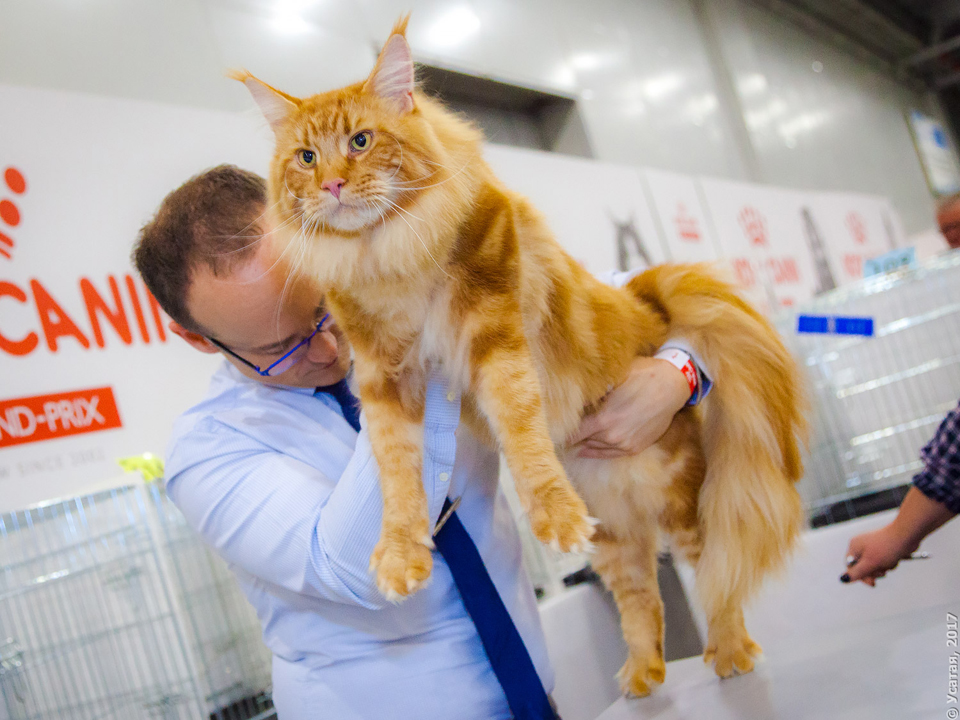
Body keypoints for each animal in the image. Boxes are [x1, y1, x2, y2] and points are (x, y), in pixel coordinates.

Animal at [234, 16, 807, 695]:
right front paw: (401, 556)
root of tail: (644, 303)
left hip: (681, 497)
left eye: (361, 140)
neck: (382, 255)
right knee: (643, 595)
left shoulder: (492, 329)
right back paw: (642, 673)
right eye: (305, 157)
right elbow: (396, 475)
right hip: (614, 533)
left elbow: (522, 428)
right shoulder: (382, 376)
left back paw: (728, 652)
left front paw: (551, 513)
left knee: (714, 577)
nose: (332, 185)